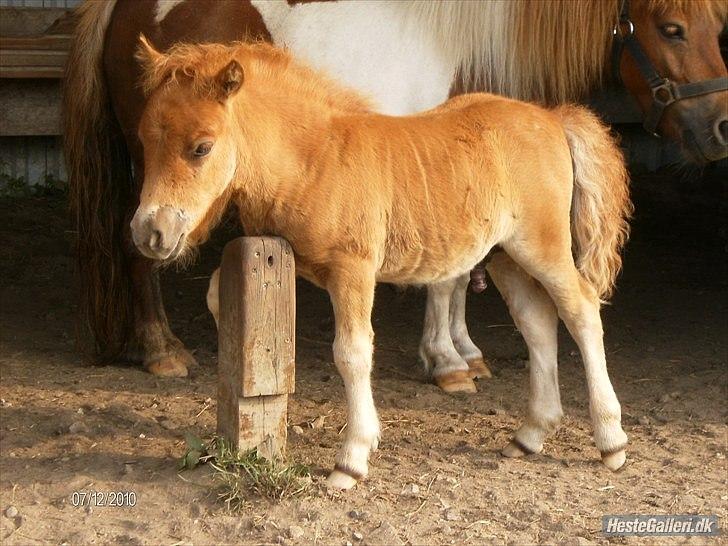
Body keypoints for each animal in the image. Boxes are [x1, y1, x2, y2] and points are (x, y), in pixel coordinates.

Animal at [131, 39, 632, 488]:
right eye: (143, 141)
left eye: (202, 147)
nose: (149, 232)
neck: (313, 159)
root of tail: (552, 117)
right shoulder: (286, 250)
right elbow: (216, 292)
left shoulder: (353, 269)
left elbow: (353, 352)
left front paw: (352, 459)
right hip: (505, 256)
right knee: (537, 321)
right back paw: (530, 434)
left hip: (543, 247)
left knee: (581, 310)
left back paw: (611, 441)